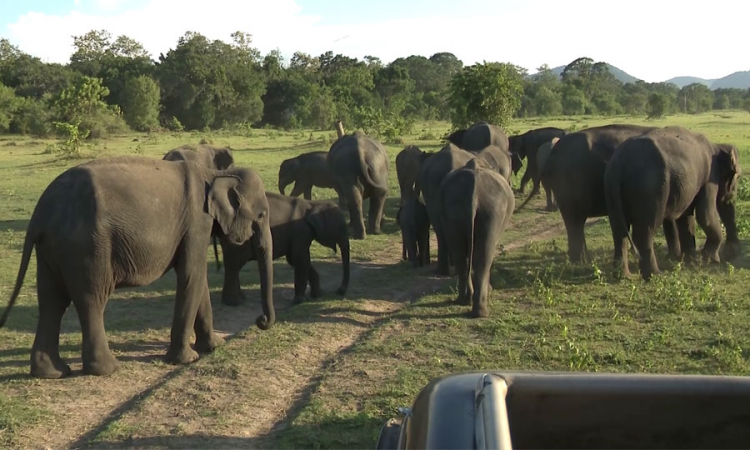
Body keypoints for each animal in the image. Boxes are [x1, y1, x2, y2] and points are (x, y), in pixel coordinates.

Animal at [0, 156, 274, 378]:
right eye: (261, 215)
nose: (260, 320)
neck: (215, 173)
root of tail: (40, 212)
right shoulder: (197, 221)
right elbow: (191, 276)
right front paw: (186, 360)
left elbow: (198, 280)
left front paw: (215, 346)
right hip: (87, 247)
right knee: (91, 299)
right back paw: (107, 369)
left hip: (51, 248)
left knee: (51, 302)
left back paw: (52, 373)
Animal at [219, 193, 352, 306]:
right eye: (341, 227)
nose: (339, 292)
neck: (313, 205)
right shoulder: (300, 232)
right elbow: (300, 260)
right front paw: (297, 301)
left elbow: (295, 260)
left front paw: (317, 295)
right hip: (238, 240)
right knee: (234, 265)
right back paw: (234, 302)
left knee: (232, 265)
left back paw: (239, 298)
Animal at [440, 158, 516, 316]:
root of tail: (473, 193)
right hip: (492, 210)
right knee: (484, 256)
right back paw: (480, 311)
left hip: (454, 209)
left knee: (460, 254)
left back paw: (465, 301)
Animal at [604, 126, 740, 280]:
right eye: (737, 177)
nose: (733, 254)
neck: (716, 146)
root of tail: (619, 165)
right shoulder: (709, 177)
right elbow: (705, 215)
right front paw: (709, 260)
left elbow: (686, 217)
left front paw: (692, 263)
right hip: (651, 190)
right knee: (645, 230)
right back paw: (654, 274)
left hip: (611, 188)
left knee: (619, 232)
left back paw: (624, 276)